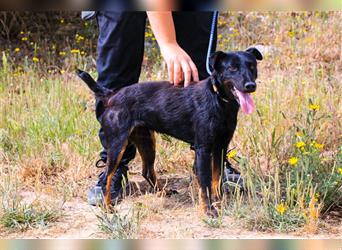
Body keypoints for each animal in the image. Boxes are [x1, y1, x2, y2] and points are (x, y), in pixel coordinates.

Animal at [77, 47, 264, 216]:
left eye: (252, 66)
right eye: (232, 68)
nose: (250, 85)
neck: (219, 100)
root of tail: (111, 95)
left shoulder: (220, 146)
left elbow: (216, 178)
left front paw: (218, 200)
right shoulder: (203, 149)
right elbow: (205, 182)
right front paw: (208, 209)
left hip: (147, 141)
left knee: (146, 171)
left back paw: (162, 192)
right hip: (117, 145)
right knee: (108, 176)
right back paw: (107, 206)